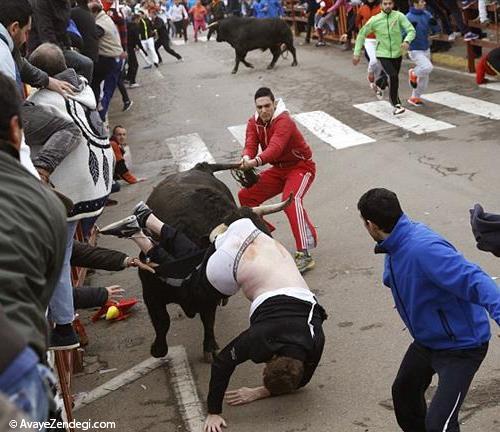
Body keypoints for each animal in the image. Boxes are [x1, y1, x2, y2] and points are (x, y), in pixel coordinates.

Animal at [139, 162, 292, 362]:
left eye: (269, 236)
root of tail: (200, 166)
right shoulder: (149, 290)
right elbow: (162, 321)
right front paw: (158, 349)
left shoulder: (209, 296)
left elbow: (208, 319)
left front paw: (210, 348)